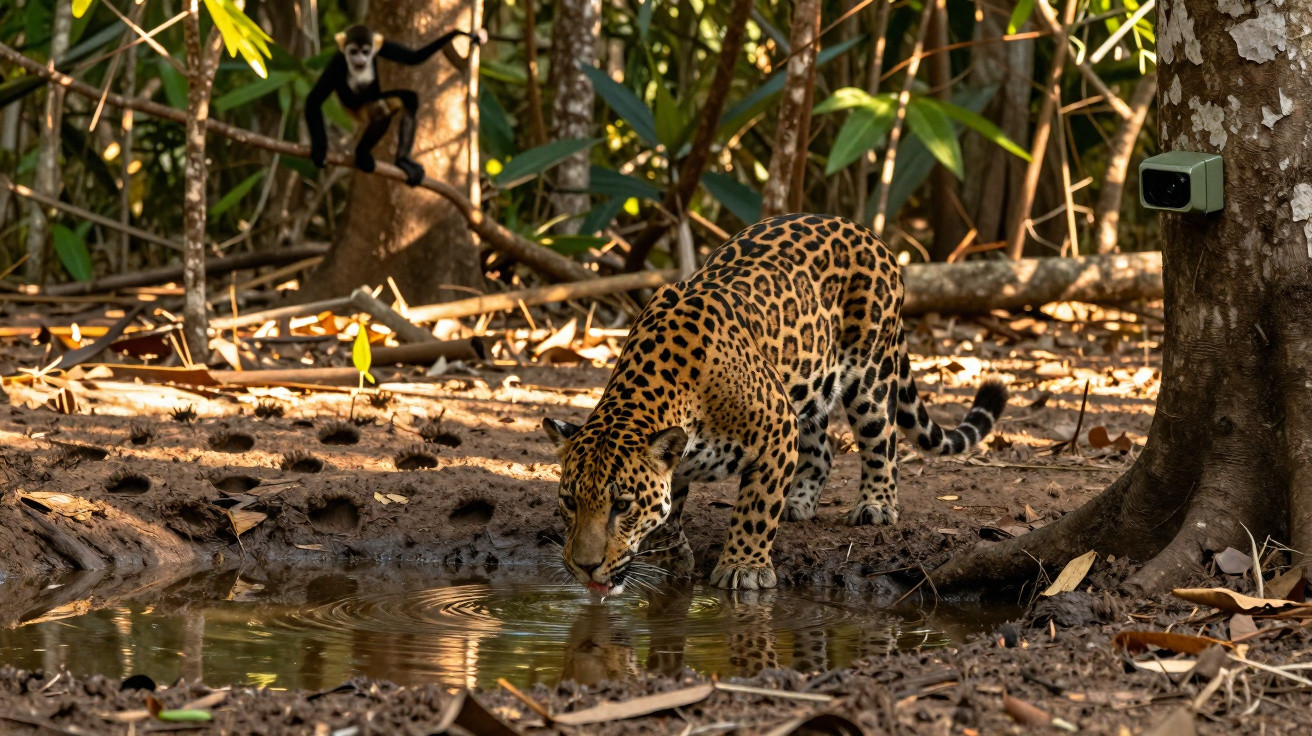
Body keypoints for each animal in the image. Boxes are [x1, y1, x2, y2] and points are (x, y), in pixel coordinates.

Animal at [306, 24, 486, 186]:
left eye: (365, 52)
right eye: (353, 52)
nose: (360, 60)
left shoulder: (382, 48)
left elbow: (413, 58)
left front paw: (457, 34)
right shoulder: (338, 62)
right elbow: (314, 99)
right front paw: (320, 151)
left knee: (409, 101)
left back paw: (401, 161)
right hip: (360, 106)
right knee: (381, 112)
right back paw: (362, 153)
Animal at [543, 213, 1007, 594]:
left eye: (621, 506)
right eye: (569, 502)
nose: (585, 567)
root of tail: (865, 231)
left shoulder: (777, 429)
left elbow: (756, 508)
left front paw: (743, 568)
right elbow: (670, 513)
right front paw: (672, 558)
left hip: (871, 373)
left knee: (883, 440)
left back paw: (875, 505)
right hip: (810, 386)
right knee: (822, 451)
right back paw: (798, 502)